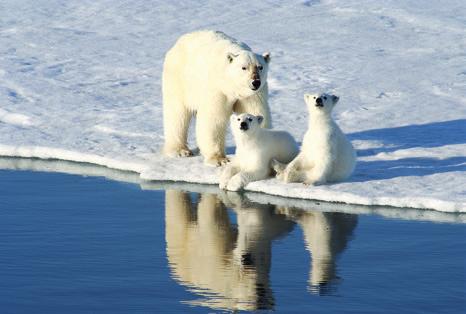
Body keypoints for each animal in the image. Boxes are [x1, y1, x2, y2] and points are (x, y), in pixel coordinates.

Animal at [162, 30, 272, 166]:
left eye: (260, 67)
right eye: (244, 67)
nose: (255, 82)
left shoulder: (253, 94)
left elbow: (256, 111)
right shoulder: (218, 90)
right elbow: (214, 119)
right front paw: (219, 159)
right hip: (179, 79)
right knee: (177, 114)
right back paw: (180, 150)